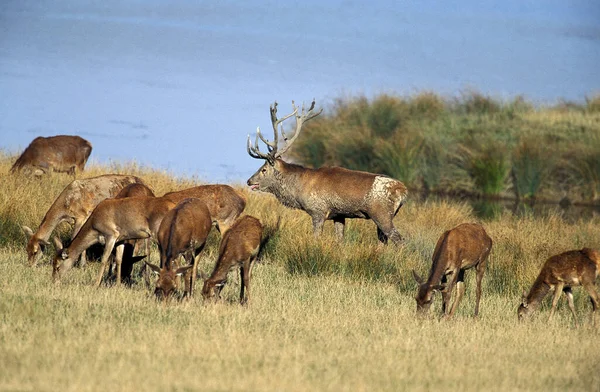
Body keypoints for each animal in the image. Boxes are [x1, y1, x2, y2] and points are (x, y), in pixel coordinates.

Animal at [245, 99, 408, 243]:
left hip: (381, 213)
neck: (298, 190)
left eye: (263, 169)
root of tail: (403, 191)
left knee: (399, 240)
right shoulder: (339, 215)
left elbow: (316, 238)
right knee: (384, 240)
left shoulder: (318, 211)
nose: (249, 181)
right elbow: (340, 240)